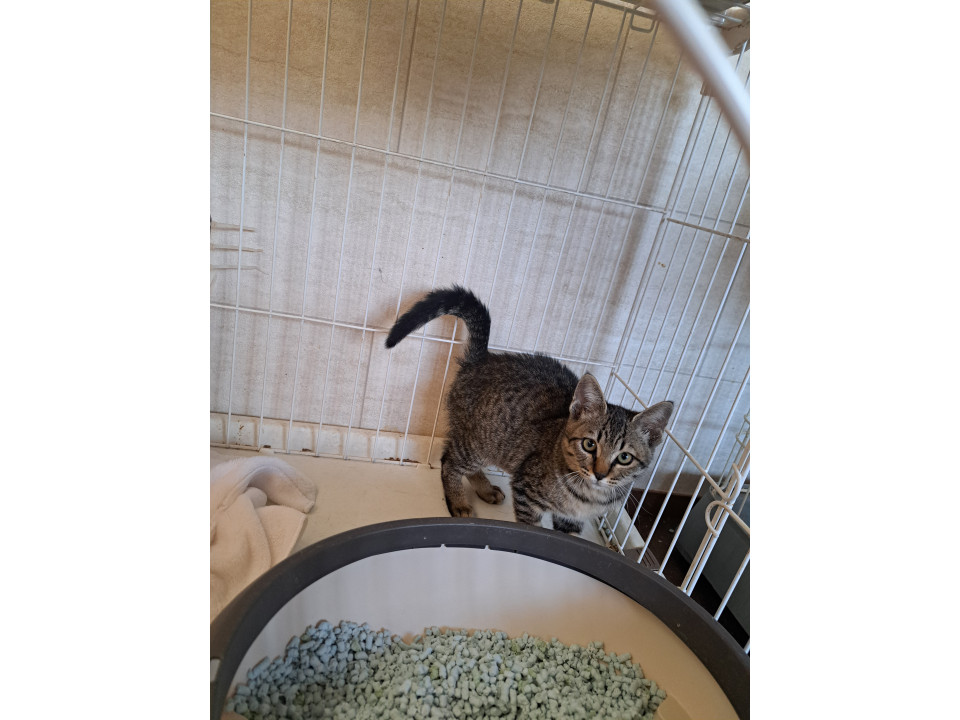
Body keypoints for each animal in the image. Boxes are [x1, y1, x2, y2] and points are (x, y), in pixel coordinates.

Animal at [385, 285, 674, 535]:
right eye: (589, 444)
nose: (600, 474)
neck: (588, 496)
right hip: (479, 441)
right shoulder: (527, 491)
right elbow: (532, 530)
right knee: (449, 460)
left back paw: (485, 489)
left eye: (624, 457)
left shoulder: (570, 520)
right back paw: (458, 501)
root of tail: (482, 358)